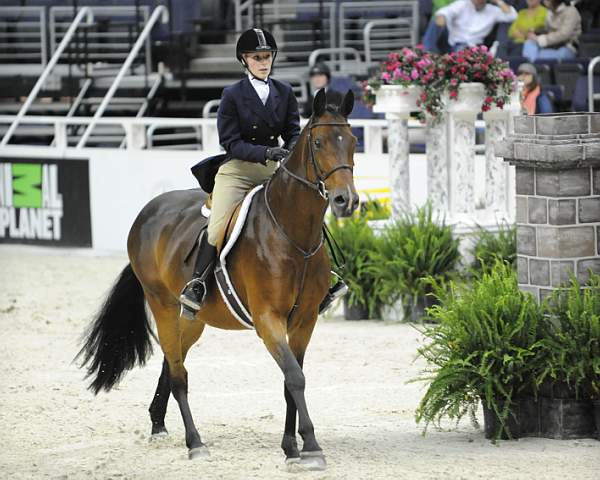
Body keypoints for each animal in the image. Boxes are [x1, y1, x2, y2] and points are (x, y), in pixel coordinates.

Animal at [77, 88, 358, 470]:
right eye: (318, 142)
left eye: (353, 142)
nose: (347, 201)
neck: (291, 234)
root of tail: (148, 212)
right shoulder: (267, 319)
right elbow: (295, 377)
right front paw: (311, 447)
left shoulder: (304, 319)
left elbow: (291, 380)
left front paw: (291, 447)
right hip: (162, 305)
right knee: (179, 374)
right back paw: (195, 443)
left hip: (194, 319)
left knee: (172, 360)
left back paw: (158, 423)